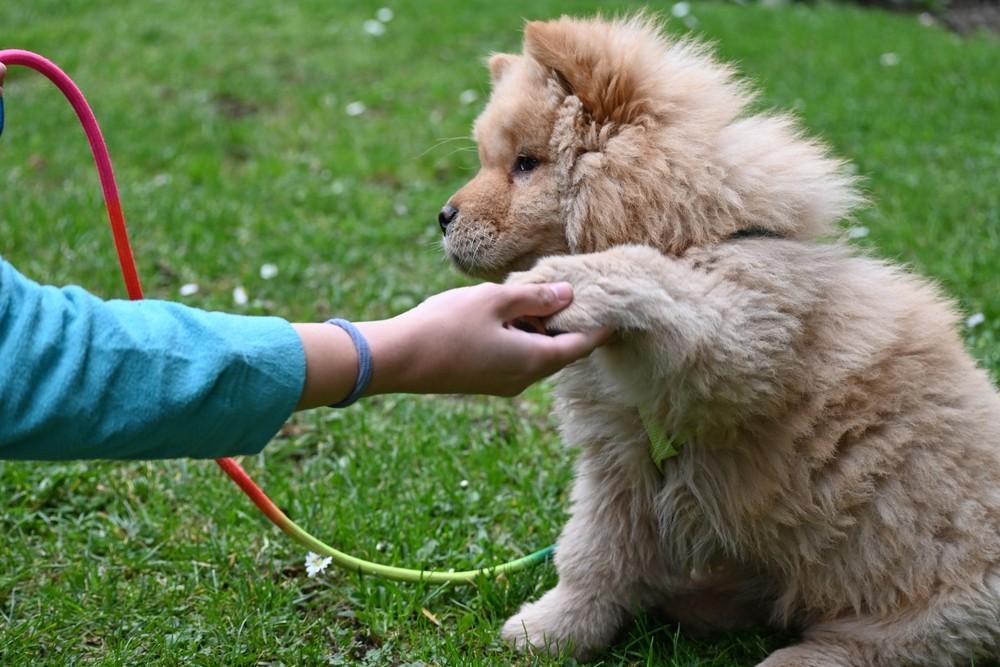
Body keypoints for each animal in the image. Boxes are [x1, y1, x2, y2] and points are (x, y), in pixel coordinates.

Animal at [442, 11, 1000, 667]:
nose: (443, 217)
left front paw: (571, 278)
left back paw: (793, 654)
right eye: (489, 160)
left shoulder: (742, 337)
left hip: (933, 597)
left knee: (879, 642)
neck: (698, 231)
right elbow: (593, 555)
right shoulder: (619, 465)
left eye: (525, 165)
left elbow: (650, 274)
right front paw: (551, 633)